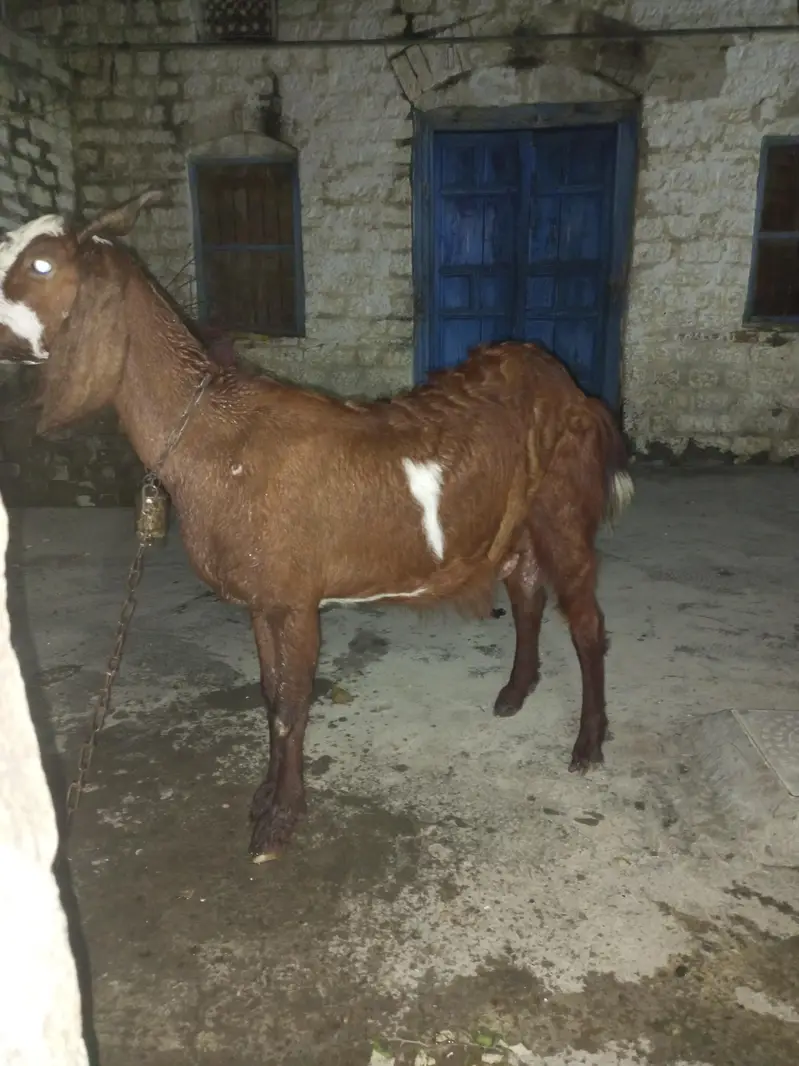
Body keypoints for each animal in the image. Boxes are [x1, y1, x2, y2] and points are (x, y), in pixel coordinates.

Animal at [0, 192, 634, 862]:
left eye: (41, 265)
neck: (212, 436)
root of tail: (572, 389)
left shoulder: (296, 598)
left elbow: (293, 703)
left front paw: (279, 821)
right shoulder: (262, 599)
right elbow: (270, 694)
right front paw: (264, 795)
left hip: (564, 512)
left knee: (587, 626)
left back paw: (589, 744)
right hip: (515, 523)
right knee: (527, 592)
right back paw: (516, 691)